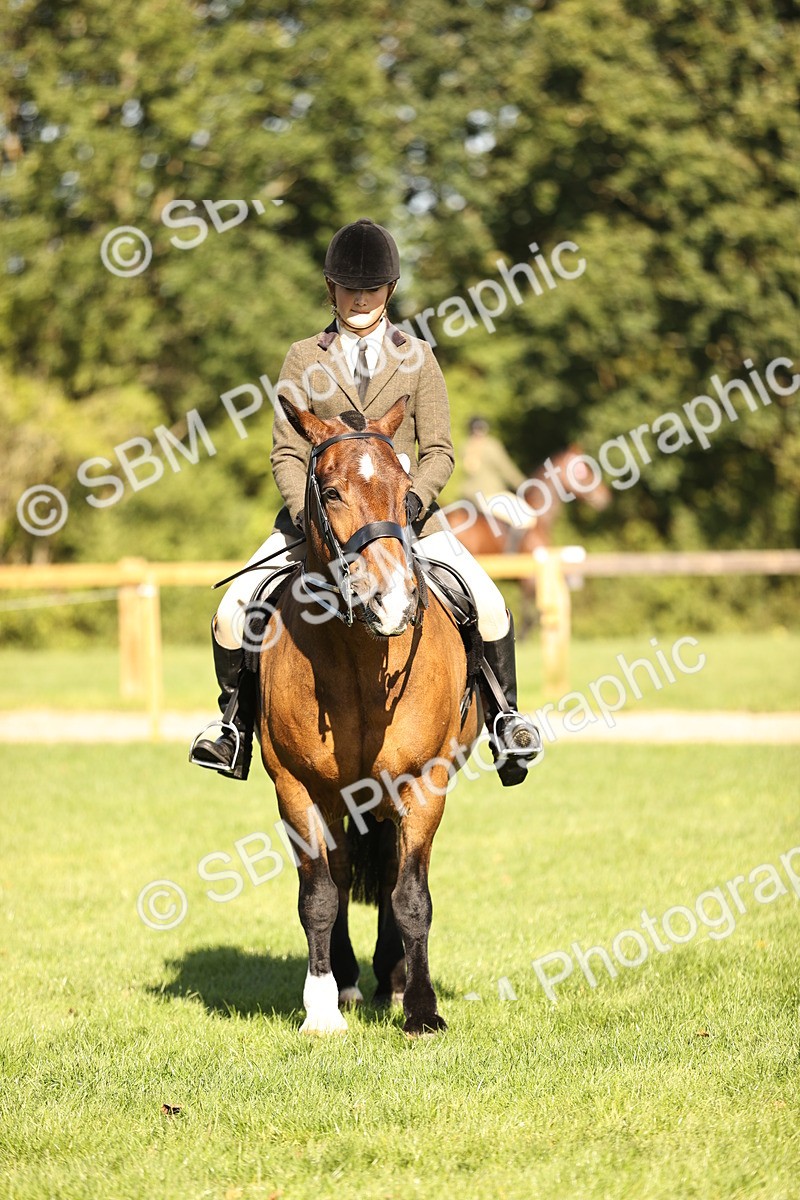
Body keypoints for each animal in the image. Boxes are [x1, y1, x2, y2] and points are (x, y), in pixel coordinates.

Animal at [256, 396, 481, 1037]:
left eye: (406, 492)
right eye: (330, 492)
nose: (394, 600)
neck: (359, 655)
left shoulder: (423, 783)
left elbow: (410, 897)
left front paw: (422, 1009)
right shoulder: (298, 788)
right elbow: (319, 897)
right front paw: (322, 1010)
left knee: (386, 877)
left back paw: (394, 980)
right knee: (343, 873)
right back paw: (354, 980)